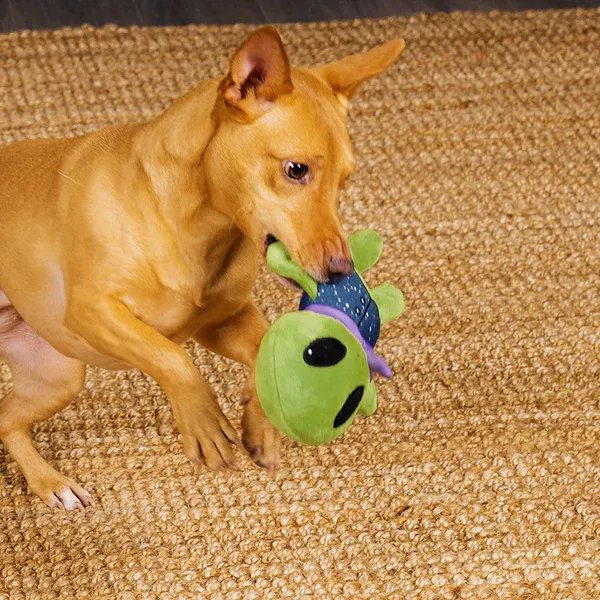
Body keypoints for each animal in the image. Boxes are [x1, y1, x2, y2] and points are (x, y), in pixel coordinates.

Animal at [0, 27, 406, 506]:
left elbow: (261, 345)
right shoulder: (93, 312)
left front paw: (260, 422)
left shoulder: (218, 322)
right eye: (295, 169)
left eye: (345, 180)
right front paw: (204, 424)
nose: (342, 269)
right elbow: (171, 358)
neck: (195, 226)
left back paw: (49, 482)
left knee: (7, 420)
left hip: (58, 376)